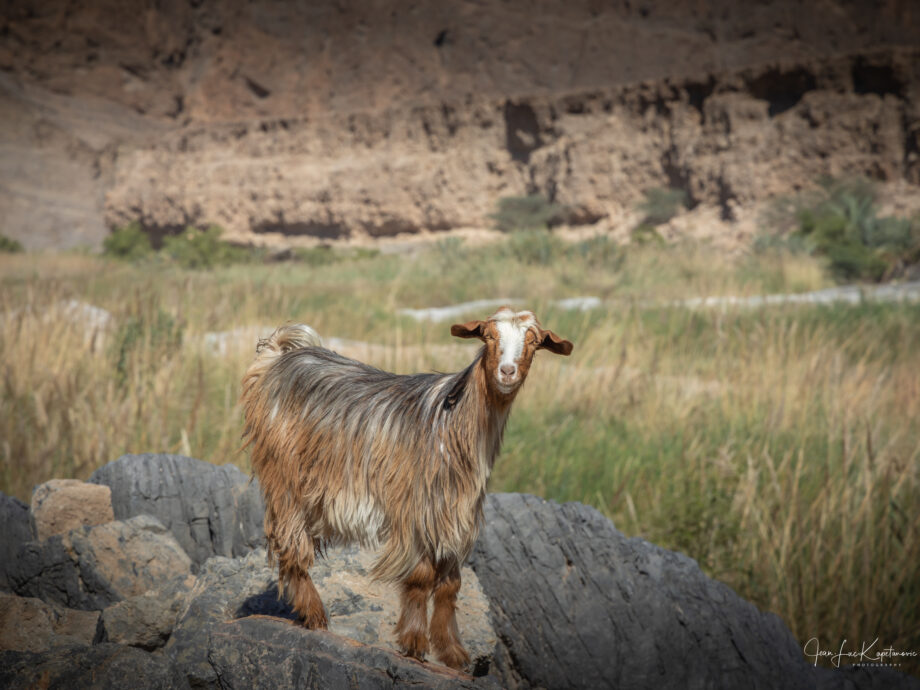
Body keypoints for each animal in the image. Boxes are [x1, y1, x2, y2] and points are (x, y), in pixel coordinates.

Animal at [240, 307, 573, 669]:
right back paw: (314, 615)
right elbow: (420, 578)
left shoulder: (455, 515)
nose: (507, 371)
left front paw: (452, 651)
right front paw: (414, 642)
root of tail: (278, 355)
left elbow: (450, 585)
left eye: (534, 341)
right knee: (292, 545)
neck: (454, 423)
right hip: (284, 476)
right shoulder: (415, 509)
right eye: (488, 336)